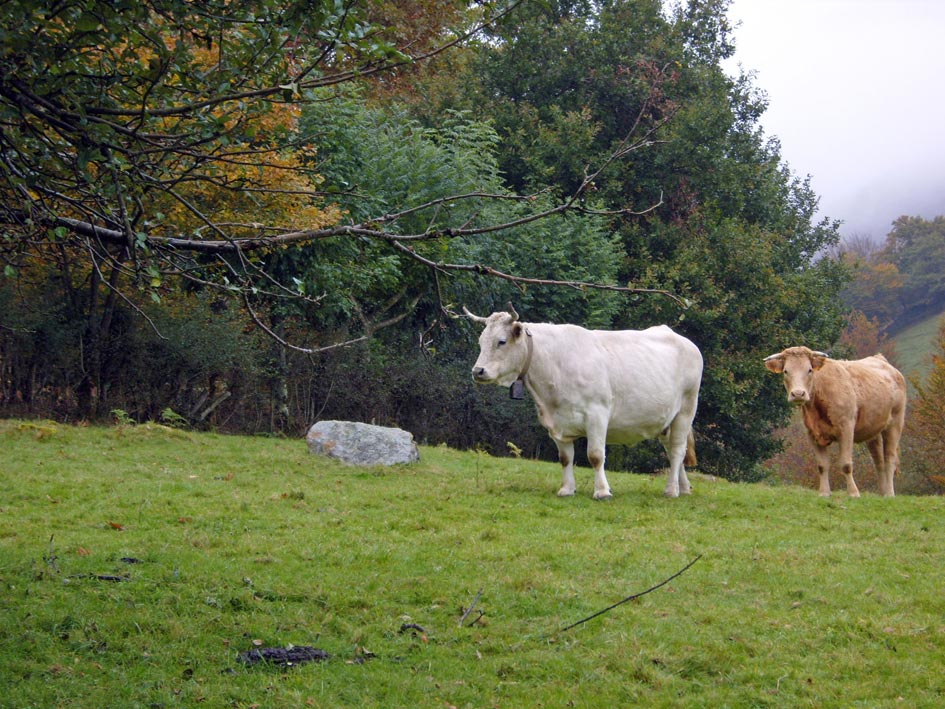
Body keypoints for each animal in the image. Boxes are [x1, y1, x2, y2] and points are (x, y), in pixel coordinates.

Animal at [464, 306, 700, 498]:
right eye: (481, 342)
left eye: (501, 341)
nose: (477, 371)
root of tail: (682, 339)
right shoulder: (556, 422)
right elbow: (565, 458)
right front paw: (567, 489)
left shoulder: (597, 414)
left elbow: (595, 455)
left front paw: (602, 491)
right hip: (665, 420)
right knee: (672, 451)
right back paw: (684, 488)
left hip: (685, 411)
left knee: (677, 450)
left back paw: (671, 490)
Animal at [760, 346, 908, 496]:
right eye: (786, 371)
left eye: (809, 370)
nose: (798, 394)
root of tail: (880, 359)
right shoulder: (812, 433)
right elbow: (822, 465)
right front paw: (824, 493)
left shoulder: (846, 428)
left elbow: (846, 464)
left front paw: (853, 493)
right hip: (873, 430)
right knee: (879, 461)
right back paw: (882, 493)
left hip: (895, 422)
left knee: (890, 458)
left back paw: (889, 493)